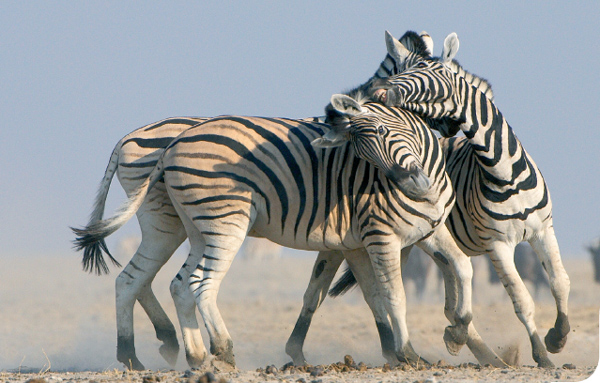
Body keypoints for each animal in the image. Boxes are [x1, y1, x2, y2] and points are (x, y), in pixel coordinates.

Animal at [366, 32, 572, 368]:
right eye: (400, 70)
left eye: (428, 69)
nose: (380, 92)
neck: (503, 172)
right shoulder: (497, 245)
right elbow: (522, 300)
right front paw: (542, 355)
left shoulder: (543, 229)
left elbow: (559, 281)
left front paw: (558, 336)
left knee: (451, 302)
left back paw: (478, 349)